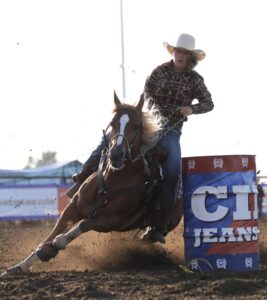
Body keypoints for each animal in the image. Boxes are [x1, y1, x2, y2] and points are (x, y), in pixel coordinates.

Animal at [1, 92, 183, 276]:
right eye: (112, 123)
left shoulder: (112, 221)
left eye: (136, 126)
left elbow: (79, 227)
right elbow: (53, 233)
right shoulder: (74, 206)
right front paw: (20, 266)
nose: (116, 154)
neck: (112, 182)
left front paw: (53, 246)